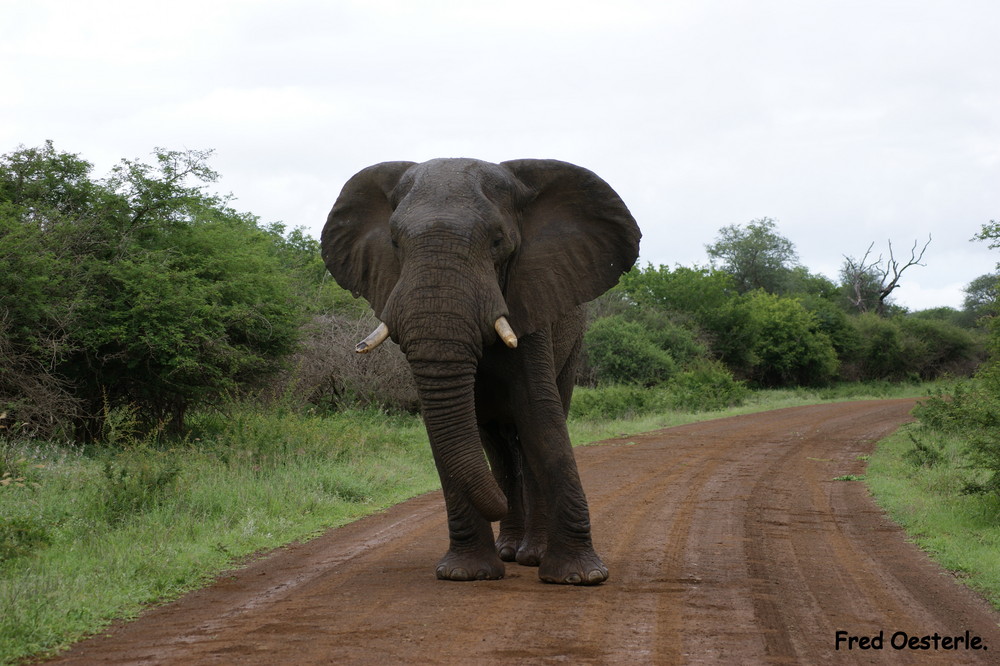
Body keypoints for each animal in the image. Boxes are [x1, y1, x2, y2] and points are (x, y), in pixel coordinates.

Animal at [324, 158, 644, 584]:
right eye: (394, 242)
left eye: (497, 242)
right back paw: (508, 550)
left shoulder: (531, 301)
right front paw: (465, 574)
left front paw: (580, 577)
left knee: (531, 435)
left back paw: (530, 555)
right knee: (498, 449)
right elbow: (444, 429)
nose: (499, 505)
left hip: (574, 344)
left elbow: (540, 415)